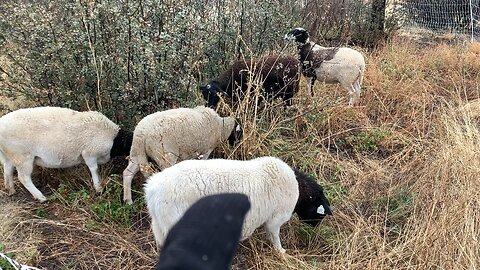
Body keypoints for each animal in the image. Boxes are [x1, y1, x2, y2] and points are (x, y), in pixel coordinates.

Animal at [0, 106, 133, 201]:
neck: (114, 138)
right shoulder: (89, 153)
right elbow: (94, 169)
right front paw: (98, 188)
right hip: (22, 156)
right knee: (23, 177)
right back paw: (40, 197)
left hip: (8, 155)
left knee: (7, 170)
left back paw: (10, 190)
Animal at [142, 156, 332, 253]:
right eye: (320, 214)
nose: (315, 229)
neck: (299, 189)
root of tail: (152, 189)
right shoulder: (275, 219)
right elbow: (274, 237)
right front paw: (281, 251)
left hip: (160, 226)